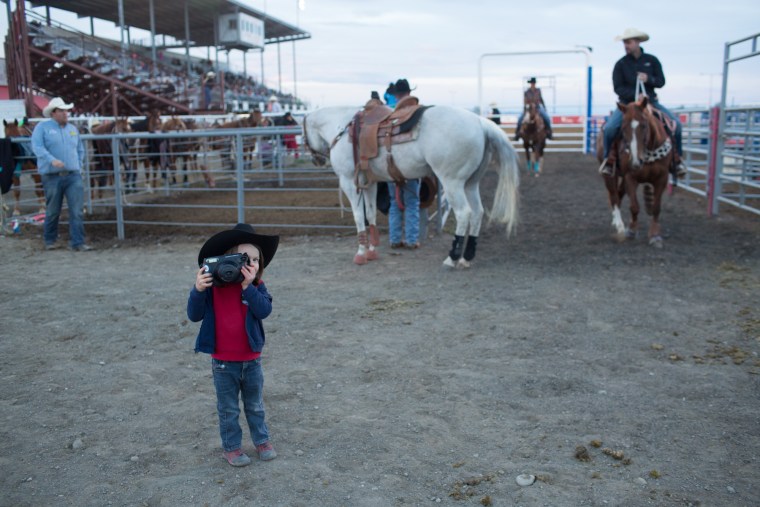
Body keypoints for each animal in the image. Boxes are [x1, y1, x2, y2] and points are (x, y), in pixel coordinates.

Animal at [596, 96, 672, 248]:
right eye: (623, 128)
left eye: (644, 125)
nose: (636, 161)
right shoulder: (630, 177)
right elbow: (634, 206)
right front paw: (631, 231)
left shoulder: (662, 178)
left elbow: (656, 208)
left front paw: (655, 236)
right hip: (610, 176)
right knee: (614, 196)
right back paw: (619, 226)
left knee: (618, 195)